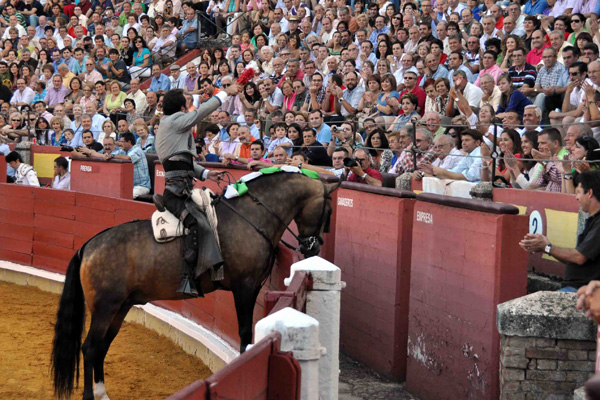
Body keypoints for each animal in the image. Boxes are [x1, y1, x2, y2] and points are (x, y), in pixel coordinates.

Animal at [49, 172, 340, 400]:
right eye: (328, 212)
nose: (312, 247)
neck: (251, 217)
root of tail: (88, 245)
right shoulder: (245, 288)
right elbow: (245, 333)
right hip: (105, 307)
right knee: (90, 348)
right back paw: (91, 395)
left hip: (120, 307)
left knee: (101, 346)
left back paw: (103, 393)